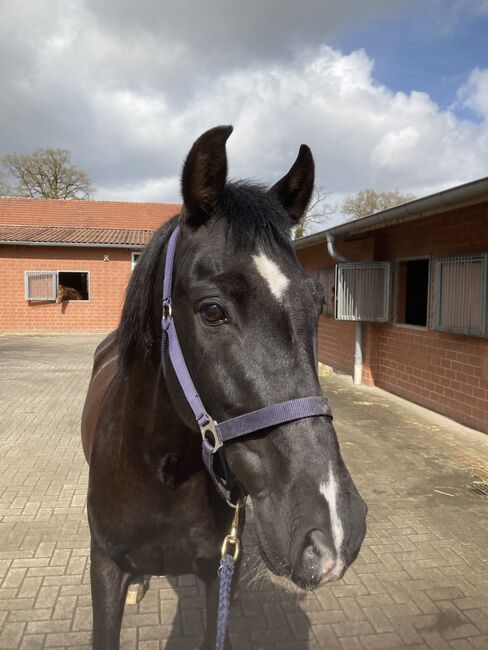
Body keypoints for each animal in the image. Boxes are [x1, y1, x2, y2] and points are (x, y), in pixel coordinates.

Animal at [83, 124, 366, 644]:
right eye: (212, 310)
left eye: (318, 303)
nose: (334, 532)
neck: (160, 472)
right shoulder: (105, 570)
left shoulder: (220, 578)